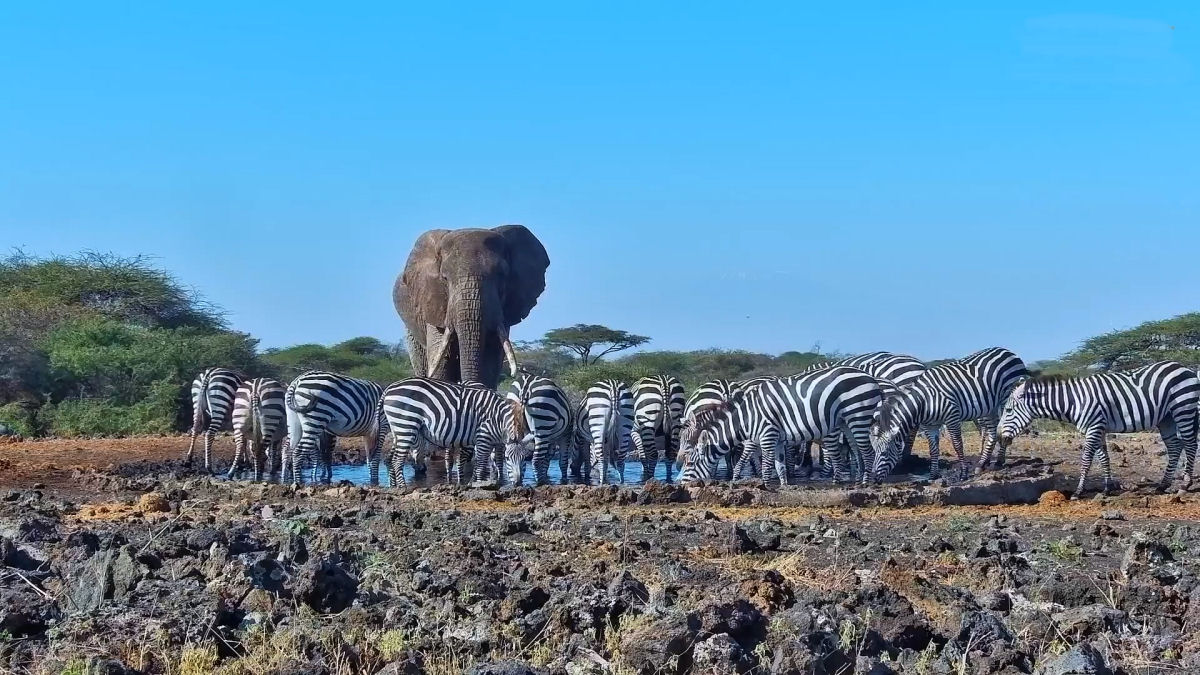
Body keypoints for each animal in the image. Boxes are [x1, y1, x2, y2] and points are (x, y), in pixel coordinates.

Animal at [379, 374, 520, 485]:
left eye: (523, 458)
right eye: (508, 458)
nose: (518, 484)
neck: (498, 418)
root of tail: (389, 388)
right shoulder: (481, 437)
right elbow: (480, 462)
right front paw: (478, 483)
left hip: (398, 429)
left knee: (390, 459)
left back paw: (395, 486)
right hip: (406, 425)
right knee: (397, 461)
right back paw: (403, 488)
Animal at [681, 367, 888, 482]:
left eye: (690, 463)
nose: (683, 484)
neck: (748, 416)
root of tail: (871, 378)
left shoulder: (767, 435)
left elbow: (765, 465)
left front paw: (763, 486)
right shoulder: (777, 439)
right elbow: (779, 467)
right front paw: (782, 486)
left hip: (858, 415)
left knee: (868, 452)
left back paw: (865, 482)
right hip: (846, 421)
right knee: (856, 449)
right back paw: (856, 480)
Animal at [868, 345, 1027, 478]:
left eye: (885, 453)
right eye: (874, 451)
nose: (874, 479)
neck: (924, 401)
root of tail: (1006, 350)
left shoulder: (952, 417)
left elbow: (957, 445)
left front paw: (963, 473)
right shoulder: (930, 425)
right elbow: (933, 449)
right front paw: (933, 475)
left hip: (1006, 398)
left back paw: (999, 461)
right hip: (989, 406)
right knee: (993, 432)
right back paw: (982, 464)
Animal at [993, 362, 1200, 494]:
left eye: (1008, 410)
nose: (999, 436)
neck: (1073, 402)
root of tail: (1185, 367)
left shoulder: (1093, 427)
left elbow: (1086, 460)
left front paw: (1078, 491)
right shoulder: (1097, 427)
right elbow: (1103, 457)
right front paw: (1108, 487)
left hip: (1183, 408)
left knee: (1190, 443)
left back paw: (1186, 484)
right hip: (1166, 417)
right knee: (1175, 447)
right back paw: (1163, 485)